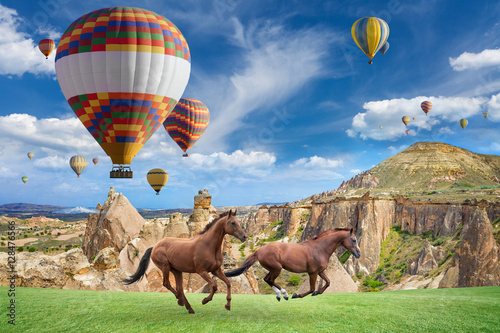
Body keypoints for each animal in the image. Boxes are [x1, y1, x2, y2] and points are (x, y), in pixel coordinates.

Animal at [224, 227, 360, 300]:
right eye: (354, 240)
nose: (358, 254)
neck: (320, 248)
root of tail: (259, 250)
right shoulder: (313, 272)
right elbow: (311, 288)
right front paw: (296, 295)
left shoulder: (320, 271)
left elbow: (328, 282)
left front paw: (317, 293)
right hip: (277, 269)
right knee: (270, 280)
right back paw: (284, 295)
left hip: (273, 269)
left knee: (267, 279)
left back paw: (280, 295)